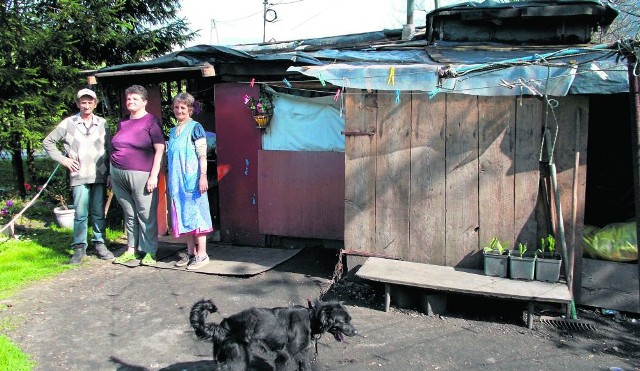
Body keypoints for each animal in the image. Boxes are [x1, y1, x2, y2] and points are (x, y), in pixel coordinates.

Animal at [190, 300, 358, 370]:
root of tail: (222, 326)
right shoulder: (283, 356)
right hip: (239, 359)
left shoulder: (303, 355)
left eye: (350, 319)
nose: (356, 332)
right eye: (344, 321)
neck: (310, 319)